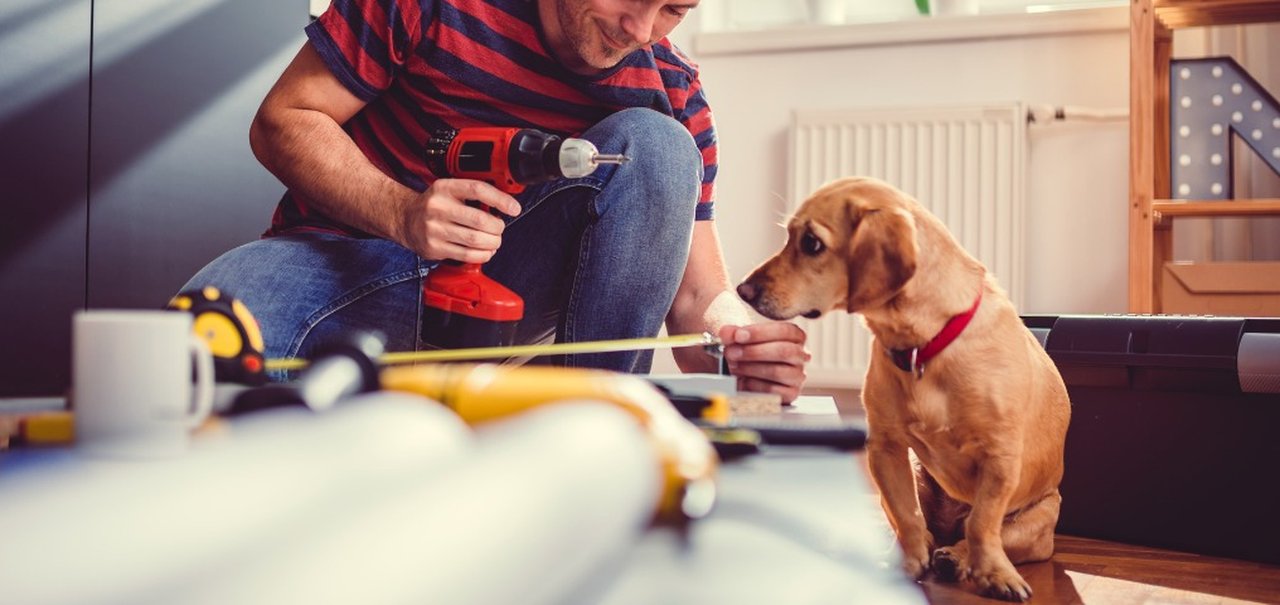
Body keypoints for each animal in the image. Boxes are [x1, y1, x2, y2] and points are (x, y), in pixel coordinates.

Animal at [737, 175, 1064, 598]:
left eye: (811, 243)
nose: (743, 291)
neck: (924, 346)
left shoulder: (1000, 458)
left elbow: (981, 523)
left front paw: (995, 574)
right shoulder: (886, 448)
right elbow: (907, 516)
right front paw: (908, 565)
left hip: (1034, 525)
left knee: (971, 534)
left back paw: (956, 557)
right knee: (917, 526)